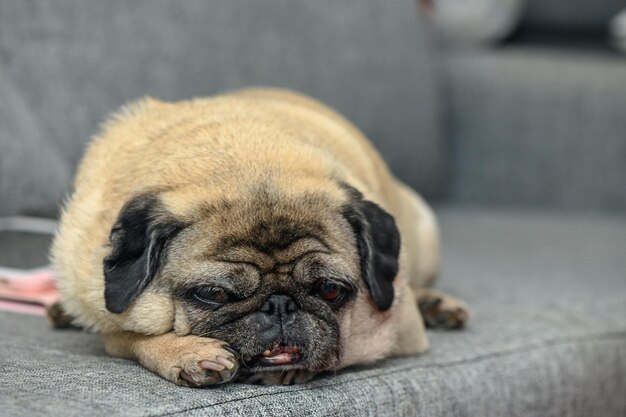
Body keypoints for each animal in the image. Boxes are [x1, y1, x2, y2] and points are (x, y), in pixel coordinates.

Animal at [51, 88, 466, 386]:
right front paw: (185, 353)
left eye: (330, 291)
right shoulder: (101, 314)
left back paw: (437, 304)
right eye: (214, 294)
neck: (243, 162)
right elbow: (128, 336)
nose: (280, 305)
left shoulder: (397, 332)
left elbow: (341, 349)